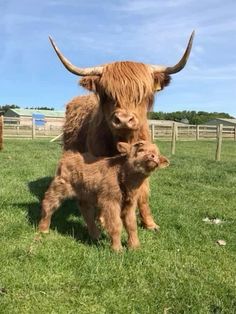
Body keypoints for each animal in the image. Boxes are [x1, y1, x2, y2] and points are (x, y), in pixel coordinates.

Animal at [38, 141, 169, 251]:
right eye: (140, 149)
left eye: (157, 153)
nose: (153, 156)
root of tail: (69, 155)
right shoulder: (110, 201)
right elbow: (116, 224)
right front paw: (117, 249)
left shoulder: (130, 204)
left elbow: (131, 225)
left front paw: (135, 247)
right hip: (59, 187)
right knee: (48, 204)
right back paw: (43, 229)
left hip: (86, 194)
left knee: (86, 212)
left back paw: (95, 235)